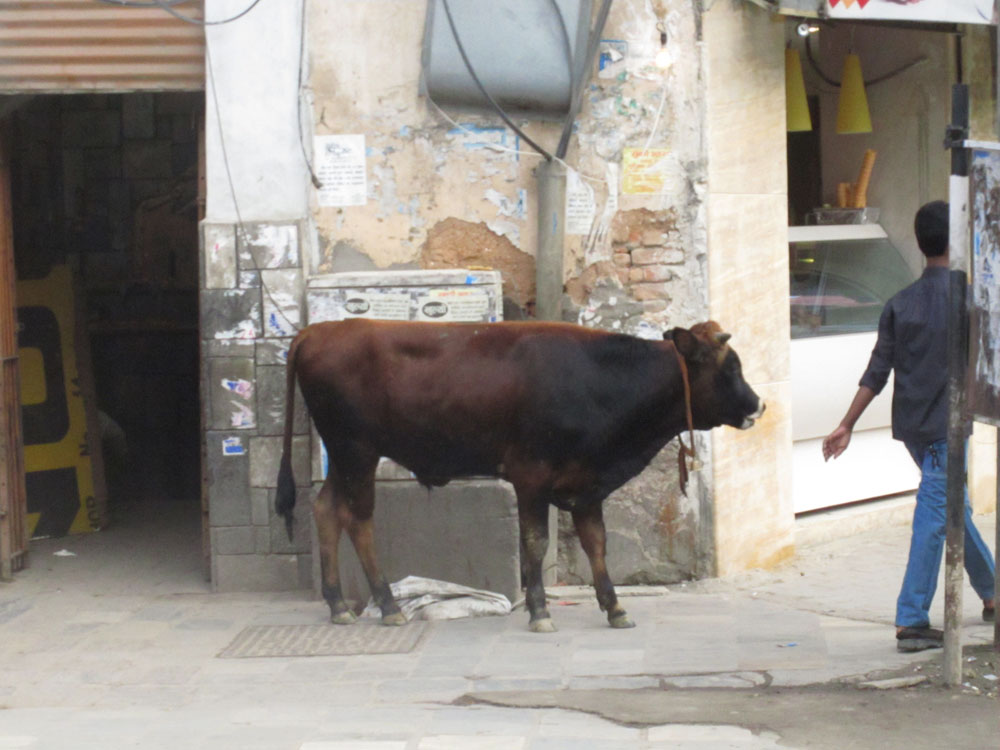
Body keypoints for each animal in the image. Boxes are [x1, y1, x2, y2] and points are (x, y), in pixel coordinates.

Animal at [278, 320, 760, 632]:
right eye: (730, 368)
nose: (759, 406)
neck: (603, 378)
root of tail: (320, 329)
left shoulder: (587, 484)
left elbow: (596, 543)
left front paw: (614, 606)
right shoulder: (532, 476)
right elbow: (535, 543)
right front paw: (540, 610)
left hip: (344, 457)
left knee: (326, 511)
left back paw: (338, 604)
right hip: (356, 452)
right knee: (359, 522)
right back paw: (387, 604)